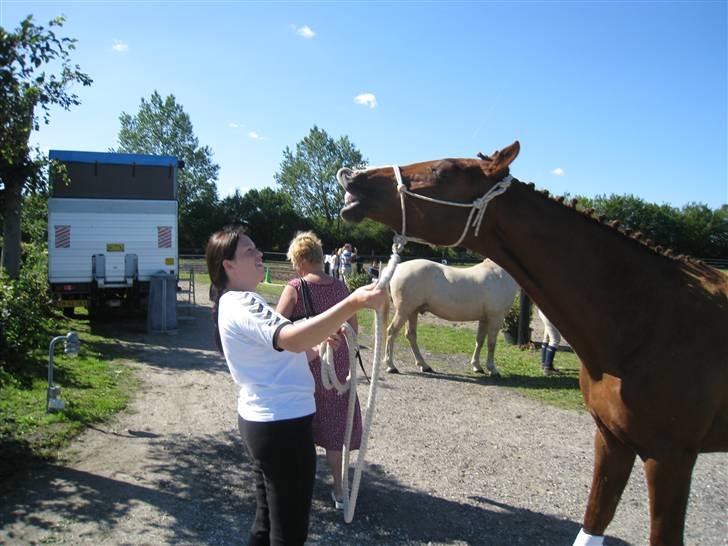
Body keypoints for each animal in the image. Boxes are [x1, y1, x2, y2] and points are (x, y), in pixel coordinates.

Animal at [384, 258, 516, 376]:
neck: (499, 275)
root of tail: (398, 268)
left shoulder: (484, 319)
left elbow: (480, 341)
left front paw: (477, 366)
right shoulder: (496, 317)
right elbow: (491, 344)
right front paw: (492, 369)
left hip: (412, 312)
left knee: (411, 335)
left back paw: (424, 365)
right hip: (403, 311)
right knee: (391, 332)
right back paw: (391, 366)